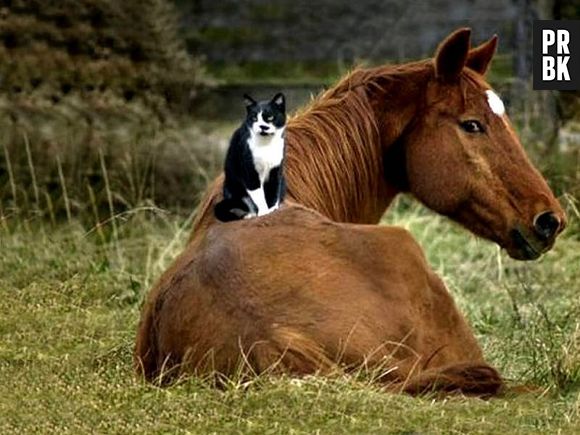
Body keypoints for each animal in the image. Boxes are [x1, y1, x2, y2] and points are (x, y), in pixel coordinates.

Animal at [214, 92, 286, 221]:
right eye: (254, 118)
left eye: (270, 117)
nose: (263, 126)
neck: (266, 145)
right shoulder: (249, 171)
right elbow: (258, 194)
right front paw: (264, 213)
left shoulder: (276, 169)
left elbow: (274, 190)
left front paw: (272, 210)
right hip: (233, 188)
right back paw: (249, 215)